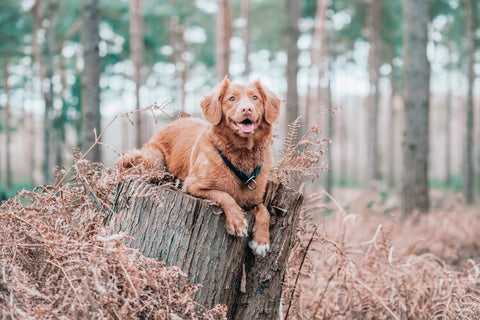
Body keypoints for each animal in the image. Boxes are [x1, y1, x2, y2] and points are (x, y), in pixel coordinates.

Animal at [115, 78, 282, 258]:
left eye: (255, 97)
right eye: (232, 98)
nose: (247, 109)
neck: (241, 155)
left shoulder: (253, 200)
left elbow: (264, 211)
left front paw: (261, 242)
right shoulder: (194, 185)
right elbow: (224, 195)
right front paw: (237, 221)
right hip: (155, 158)